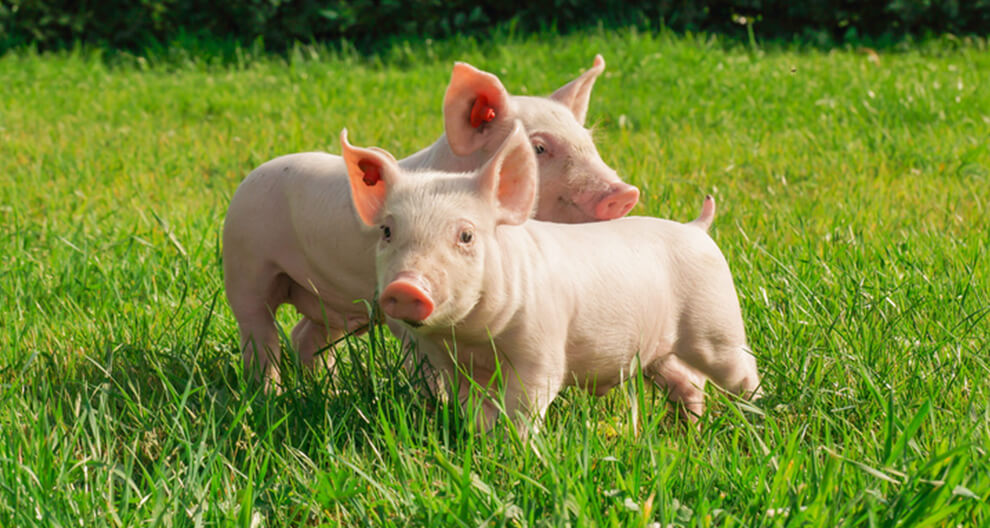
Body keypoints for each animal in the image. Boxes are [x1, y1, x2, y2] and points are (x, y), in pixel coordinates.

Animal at [223, 56, 640, 385]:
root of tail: (251, 176)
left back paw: (328, 390)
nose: (626, 192)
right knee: (258, 331)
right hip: (244, 264)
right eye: (539, 148)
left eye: (589, 141)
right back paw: (268, 395)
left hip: (331, 301)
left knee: (305, 334)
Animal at [340, 121, 760, 431]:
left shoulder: (540, 347)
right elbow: (473, 409)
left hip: (717, 326)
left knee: (740, 369)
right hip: (659, 350)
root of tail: (697, 227)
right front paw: (479, 441)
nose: (405, 287)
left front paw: (515, 450)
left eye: (466, 235)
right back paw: (686, 431)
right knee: (686, 381)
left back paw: (756, 416)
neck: (475, 339)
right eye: (387, 231)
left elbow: (524, 405)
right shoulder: (452, 364)